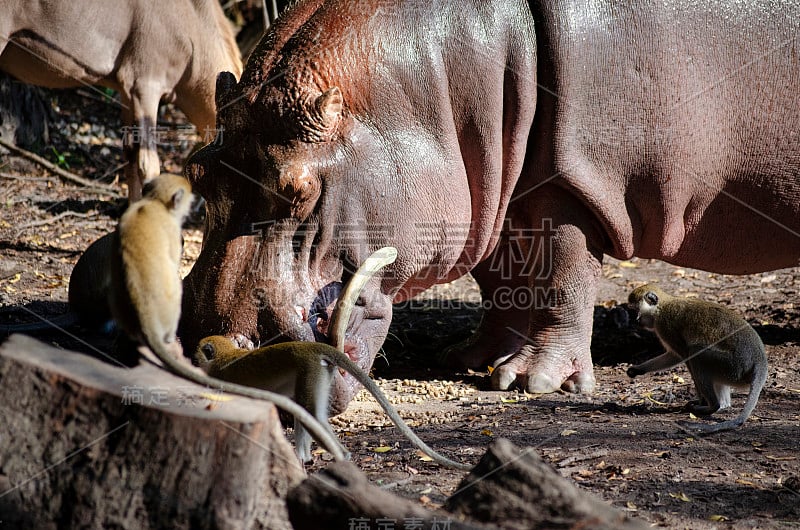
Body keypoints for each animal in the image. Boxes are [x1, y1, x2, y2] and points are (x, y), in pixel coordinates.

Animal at [624, 282, 768, 432]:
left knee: (695, 353)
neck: (661, 307)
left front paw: (701, 401)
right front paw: (637, 369)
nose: (635, 320)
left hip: (733, 367)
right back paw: (722, 405)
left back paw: (713, 406)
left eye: (635, 310)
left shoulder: (665, 326)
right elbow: (674, 356)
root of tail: (760, 359)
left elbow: (685, 356)